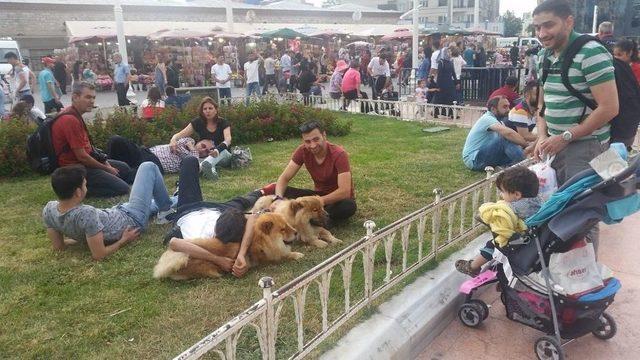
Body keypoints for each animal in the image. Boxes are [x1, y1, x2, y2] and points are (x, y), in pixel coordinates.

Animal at [152, 212, 302, 280]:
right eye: (282, 229)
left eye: (287, 225)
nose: (296, 232)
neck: (260, 239)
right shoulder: (269, 258)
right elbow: (285, 255)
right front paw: (297, 255)